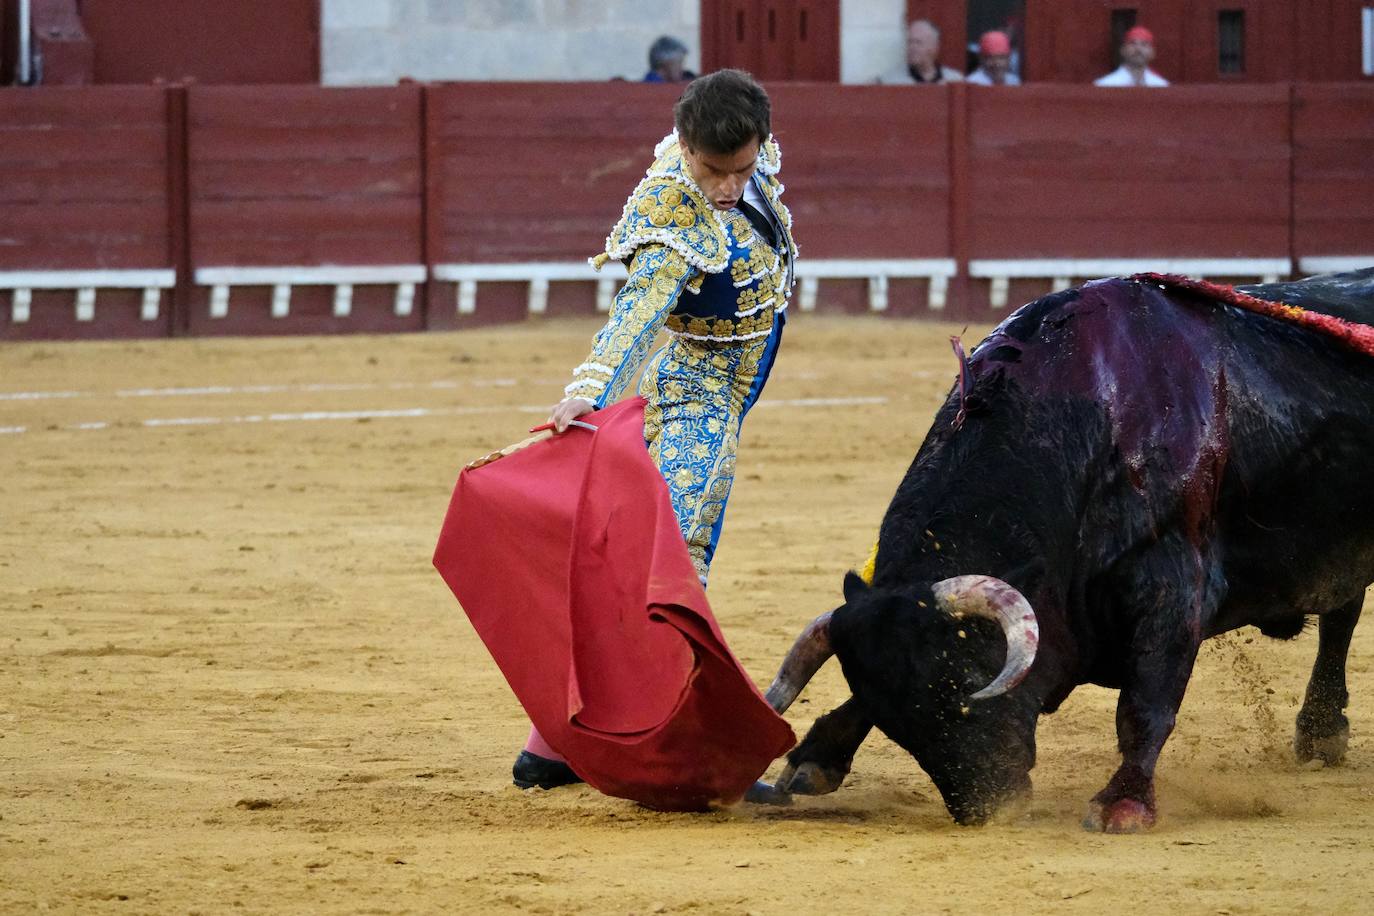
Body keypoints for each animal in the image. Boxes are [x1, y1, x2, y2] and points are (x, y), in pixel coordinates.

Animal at [763, 270, 1374, 829]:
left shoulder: (1173, 585)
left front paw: (1123, 804)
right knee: (1342, 609)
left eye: (962, 687)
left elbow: (1146, 702)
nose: (988, 807)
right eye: (898, 725)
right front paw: (812, 760)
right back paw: (1322, 733)